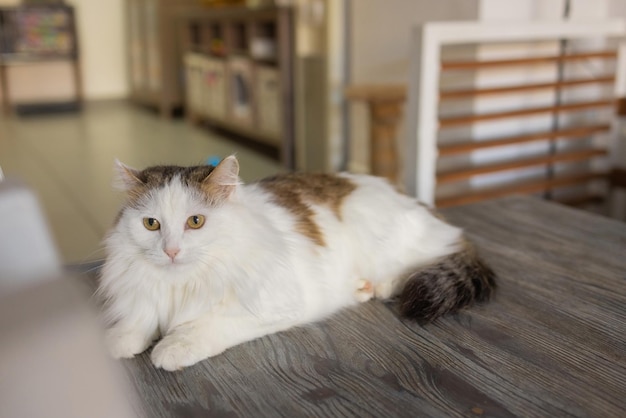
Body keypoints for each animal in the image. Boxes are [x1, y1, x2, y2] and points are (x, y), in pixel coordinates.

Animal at [97, 155, 494, 370]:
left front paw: (173, 347)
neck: (181, 283)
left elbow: (205, 325)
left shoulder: (274, 305)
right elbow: (138, 320)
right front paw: (119, 340)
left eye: (195, 222)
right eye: (151, 224)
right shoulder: (142, 297)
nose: (171, 251)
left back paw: (374, 286)